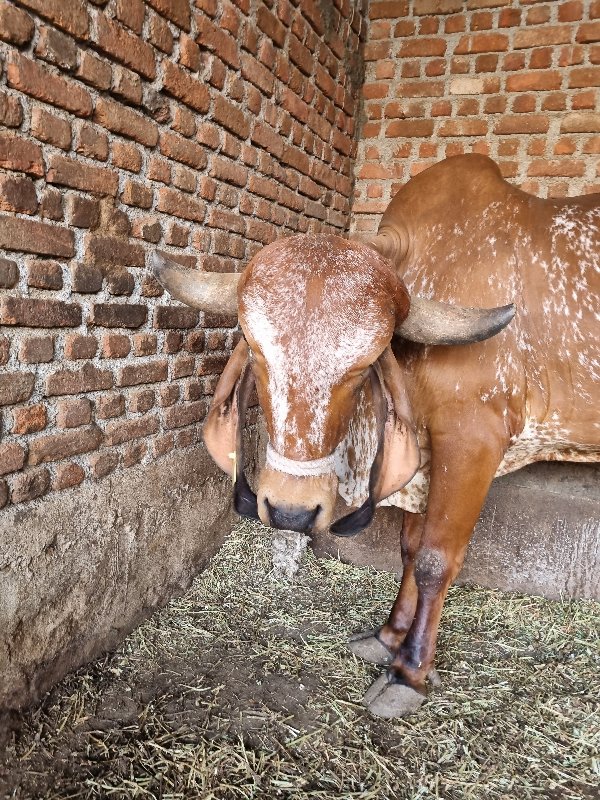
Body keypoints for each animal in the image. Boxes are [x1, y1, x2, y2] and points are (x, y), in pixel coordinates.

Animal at [151, 156, 600, 720]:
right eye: (254, 349)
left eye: (367, 363)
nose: (291, 512)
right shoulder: (422, 458)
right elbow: (408, 549)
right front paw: (388, 638)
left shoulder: (473, 441)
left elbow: (434, 559)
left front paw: (409, 671)